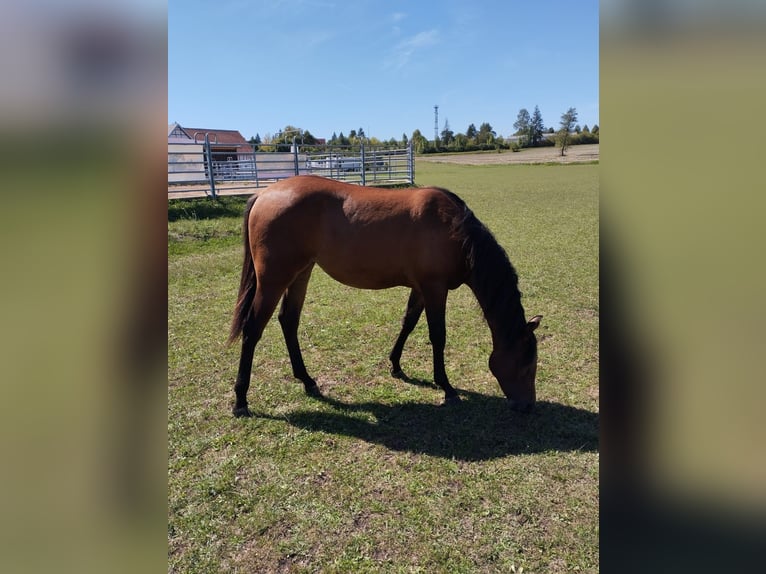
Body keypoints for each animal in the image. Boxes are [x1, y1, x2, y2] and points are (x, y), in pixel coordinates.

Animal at [228, 175, 542, 417]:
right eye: (527, 365)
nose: (527, 406)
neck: (455, 230)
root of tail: (263, 194)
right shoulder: (435, 288)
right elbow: (438, 336)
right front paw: (447, 387)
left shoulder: (420, 288)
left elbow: (408, 323)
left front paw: (396, 365)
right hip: (273, 279)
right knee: (252, 329)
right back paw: (241, 399)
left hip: (301, 272)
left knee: (288, 321)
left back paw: (306, 380)